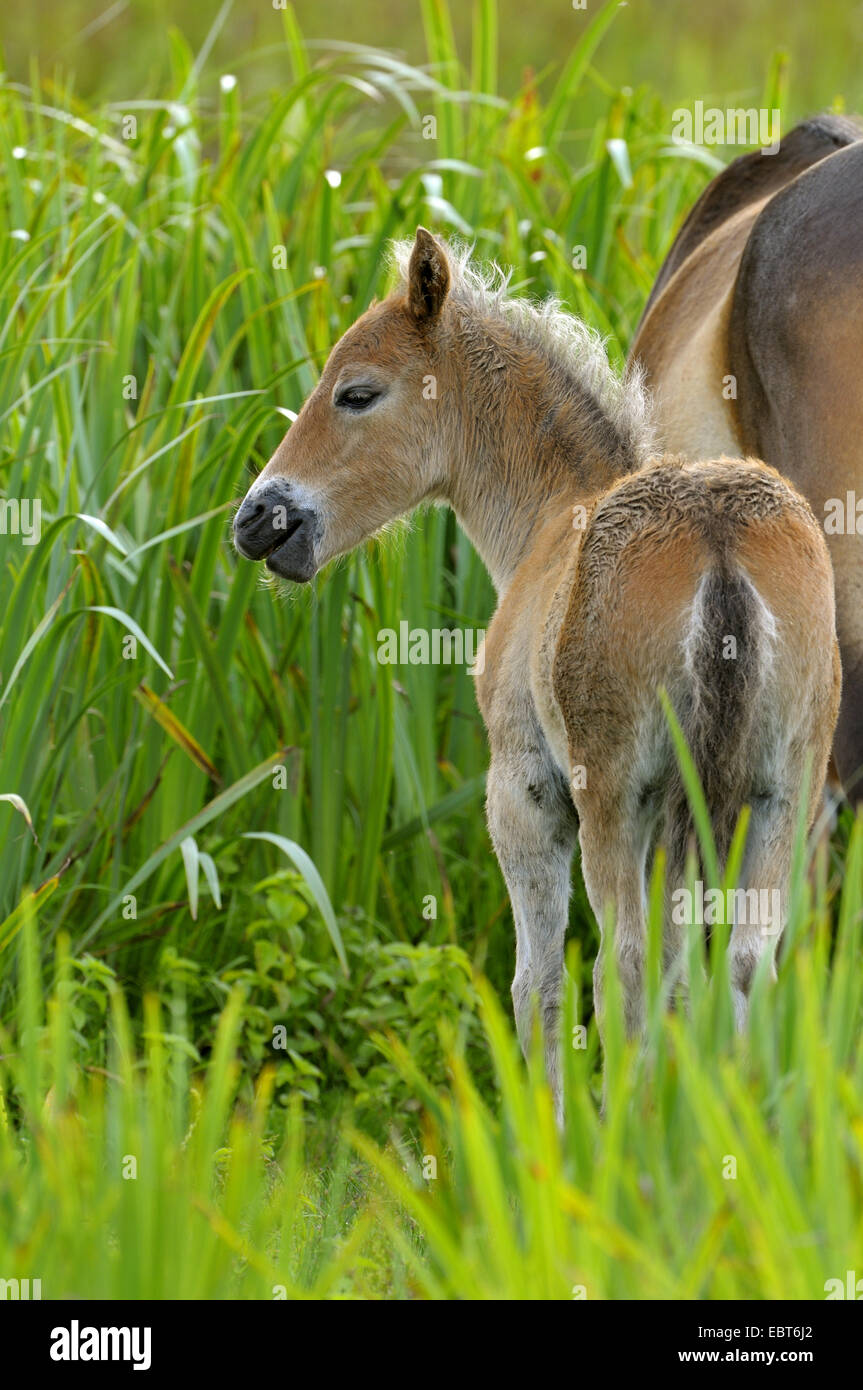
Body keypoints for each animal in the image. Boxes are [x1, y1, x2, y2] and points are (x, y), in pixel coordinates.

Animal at [232, 230, 839, 1117]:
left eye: (355, 394)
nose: (258, 519)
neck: (554, 515)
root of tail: (717, 538)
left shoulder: (525, 792)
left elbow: (537, 986)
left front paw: (548, 1130)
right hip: (781, 792)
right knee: (743, 964)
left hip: (615, 796)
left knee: (624, 966)